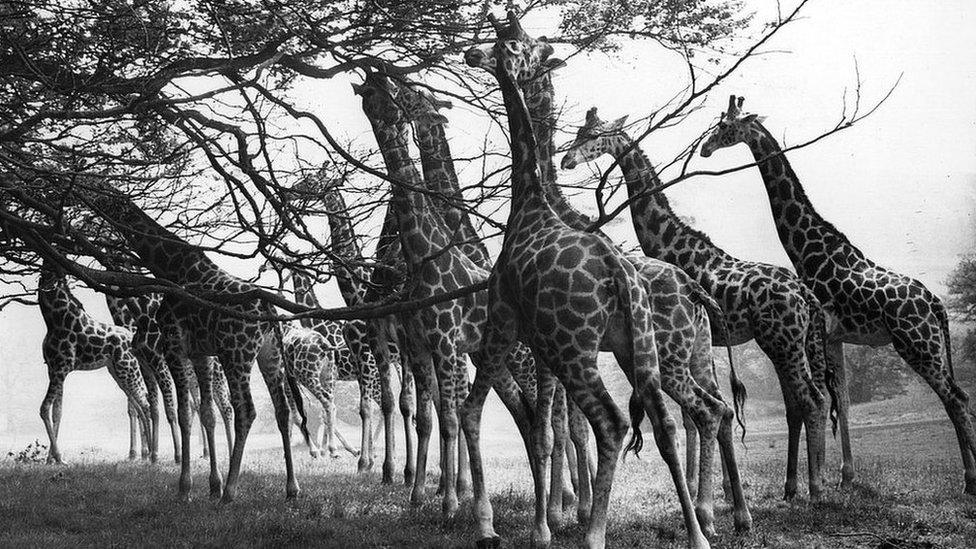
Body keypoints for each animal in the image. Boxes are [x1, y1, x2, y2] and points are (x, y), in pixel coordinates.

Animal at [36, 260, 152, 464]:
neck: (53, 319)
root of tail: (133, 338)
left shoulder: (61, 368)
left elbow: (45, 409)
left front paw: (58, 457)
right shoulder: (54, 369)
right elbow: (57, 411)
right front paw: (52, 459)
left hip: (128, 368)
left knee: (144, 403)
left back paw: (152, 455)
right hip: (118, 371)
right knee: (138, 405)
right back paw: (146, 455)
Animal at [79, 186, 308, 504]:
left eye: (103, 198)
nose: (84, 216)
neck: (174, 269)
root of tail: (269, 309)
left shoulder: (175, 347)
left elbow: (186, 413)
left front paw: (185, 488)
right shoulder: (202, 354)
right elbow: (207, 413)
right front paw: (212, 485)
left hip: (236, 354)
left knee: (246, 411)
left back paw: (231, 492)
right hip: (269, 355)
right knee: (283, 410)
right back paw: (291, 488)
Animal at [560, 107, 836, 500]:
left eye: (592, 136)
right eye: (578, 133)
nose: (566, 160)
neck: (671, 244)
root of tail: (805, 294)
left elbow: (696, 415)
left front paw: (696, 487)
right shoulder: (708, 344)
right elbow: (707, 412)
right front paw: (717, 488)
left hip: (782, 342)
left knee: (811, 400)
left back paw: (813, 488)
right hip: (790, 342)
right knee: (807, 401)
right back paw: (802, 484)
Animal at [700, 94, 976, 492]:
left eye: (724, 126)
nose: (704, 148)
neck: (808, 250)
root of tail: (936, 304)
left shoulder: (820, 334)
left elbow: (819, 399)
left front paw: (819, 478)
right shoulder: (835, 337)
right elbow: (841, 401)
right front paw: (845, 476)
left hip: (916, 344)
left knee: (955, 397)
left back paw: (971, 479)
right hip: (932, 344)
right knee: (958, 396)